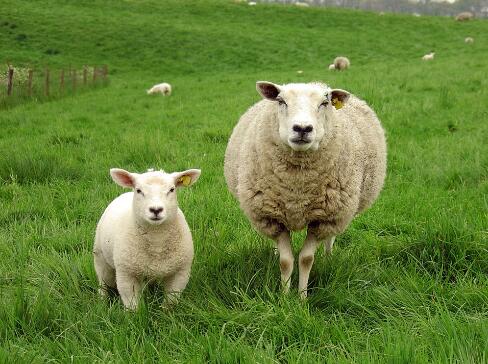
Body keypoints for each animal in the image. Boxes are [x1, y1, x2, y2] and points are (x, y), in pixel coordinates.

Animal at [93, 166, 200, 308]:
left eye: (172, 189)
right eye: (139, 190)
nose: (156, 210)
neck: (157, 238)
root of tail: (126, 194)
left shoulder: (180, 273)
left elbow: (170, 302)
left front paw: (166, 312)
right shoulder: (127, 274)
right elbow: (132, 305)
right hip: (100, 257)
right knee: (103, 283)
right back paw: (101, 302)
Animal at [223, 82, 386, 298]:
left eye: (325, 103)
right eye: (281, 101)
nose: (302, 128)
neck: (297, 191)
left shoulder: (323, 220)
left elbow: (306, 259)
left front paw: (302, 298)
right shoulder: (273, 219)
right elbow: (285, 261)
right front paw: (284, 297)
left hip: (338, 212)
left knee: (330, 238)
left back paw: (328, 256)